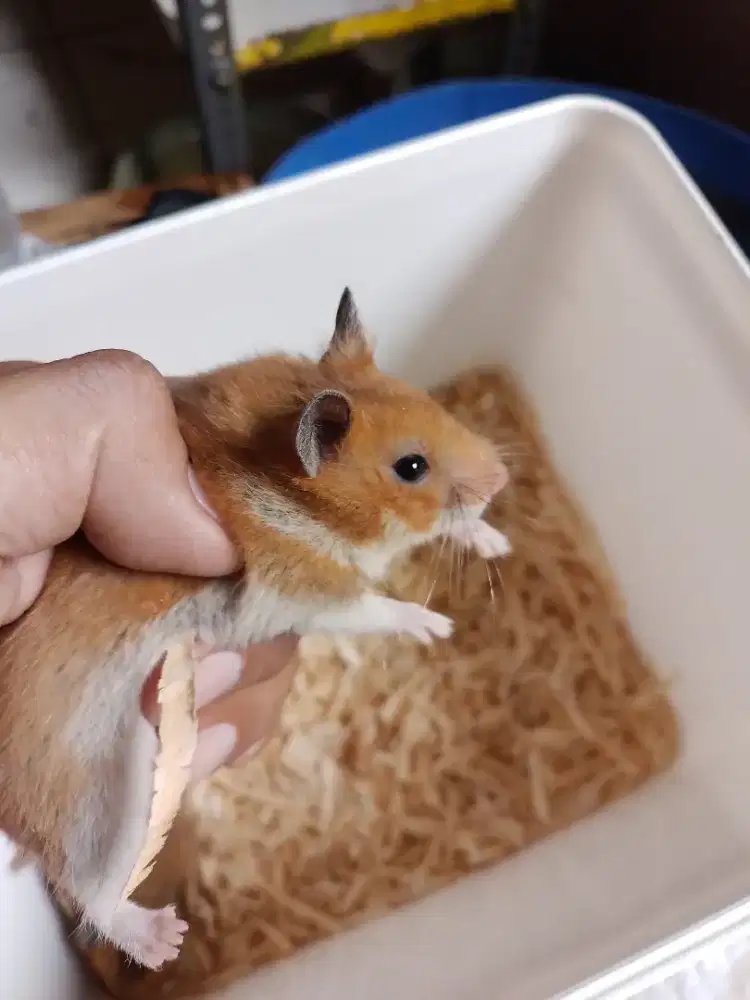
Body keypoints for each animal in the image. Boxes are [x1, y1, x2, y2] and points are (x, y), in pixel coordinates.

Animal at [0, 289, 510, 969]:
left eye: (424, 401)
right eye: (411, 466)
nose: (502, 478)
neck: (297, 495)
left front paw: (496, 540)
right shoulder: (305, 599)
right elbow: (376, 607)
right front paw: (438, 625)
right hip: (109, 788)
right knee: (91, 894)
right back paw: (163, 939)